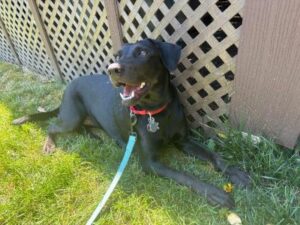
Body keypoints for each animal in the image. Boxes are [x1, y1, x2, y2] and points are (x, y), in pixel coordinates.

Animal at [13, 38, 248, 207]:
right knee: (53, 125)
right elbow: (186, 175)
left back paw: (93, 136)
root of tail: (69, 85)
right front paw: (216, 193)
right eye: (117, 55)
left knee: (82, 126)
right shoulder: (151, 163)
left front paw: (236, 173)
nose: (112, 69)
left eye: (142, 52)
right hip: (71, 116)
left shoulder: (184, 141)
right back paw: (49, 144)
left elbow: (213, 156)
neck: (157, 111)